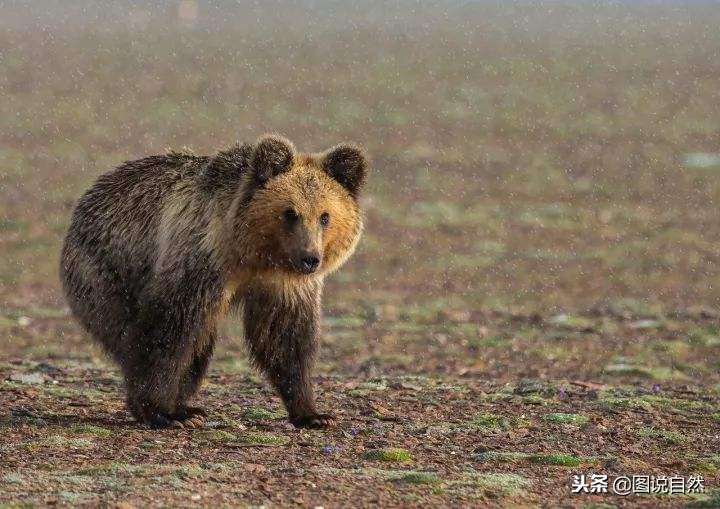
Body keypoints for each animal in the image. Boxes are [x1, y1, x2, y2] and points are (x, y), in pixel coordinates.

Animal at [57, 135, 366, 428]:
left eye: (325, 216)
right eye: (290, 212)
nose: (310, 258)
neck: (250, 254)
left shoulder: (282, 284)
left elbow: (284, 337)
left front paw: (314, 414)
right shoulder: (200, 260)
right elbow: (168, 330)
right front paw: (161, 411)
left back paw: (186, 405)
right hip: (106, 272)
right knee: (135, 331)